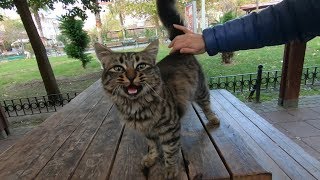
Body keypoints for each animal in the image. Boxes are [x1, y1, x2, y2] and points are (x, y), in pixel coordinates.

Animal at [94, 0, 220, 179]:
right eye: (118, 68)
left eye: (141, 66)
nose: (131, 77)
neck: (136, 106)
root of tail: (177, 51)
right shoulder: (148, 131)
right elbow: (153, 145)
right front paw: (152, 157)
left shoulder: (170, 128)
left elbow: (170, 151)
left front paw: (170, 169)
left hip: (200, 90)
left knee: (207, 105)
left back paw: (213, 119)